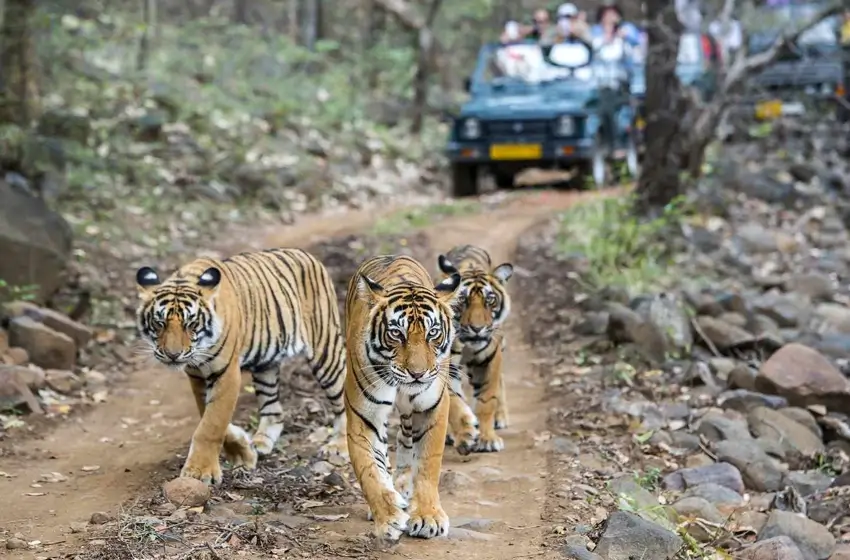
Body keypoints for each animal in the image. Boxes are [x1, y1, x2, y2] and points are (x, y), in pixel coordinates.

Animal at [134, 248, 348, 485]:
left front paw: (200, 472)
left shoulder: (226, 373)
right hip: (266, 365)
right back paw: (261, 443)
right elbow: (207, 415)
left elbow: (212, 424)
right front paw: (243, 452)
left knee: (343, 400)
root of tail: (306, 254)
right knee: (274, 409)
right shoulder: (197, 376)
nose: (173, 355)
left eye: (191, 324)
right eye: (159, 323)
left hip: (326, 350)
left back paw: (338, 446)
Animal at [343, 254, 462, 541]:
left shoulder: (432, 407)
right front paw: (388, 518)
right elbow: (369, 470)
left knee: (407, 440)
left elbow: (428, 464)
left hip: (411, 411)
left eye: (433, 333)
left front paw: (428, 517)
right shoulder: (364, 415)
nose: (417, 374)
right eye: (397, 333)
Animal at [437, 244, 514, 453]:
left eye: (490, 300)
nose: (477, 328)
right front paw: (465, 435)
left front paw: (487, 439)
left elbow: (486, 400)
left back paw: (500, 418)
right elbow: (454, 401)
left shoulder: (490, 359)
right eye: (463, 301)